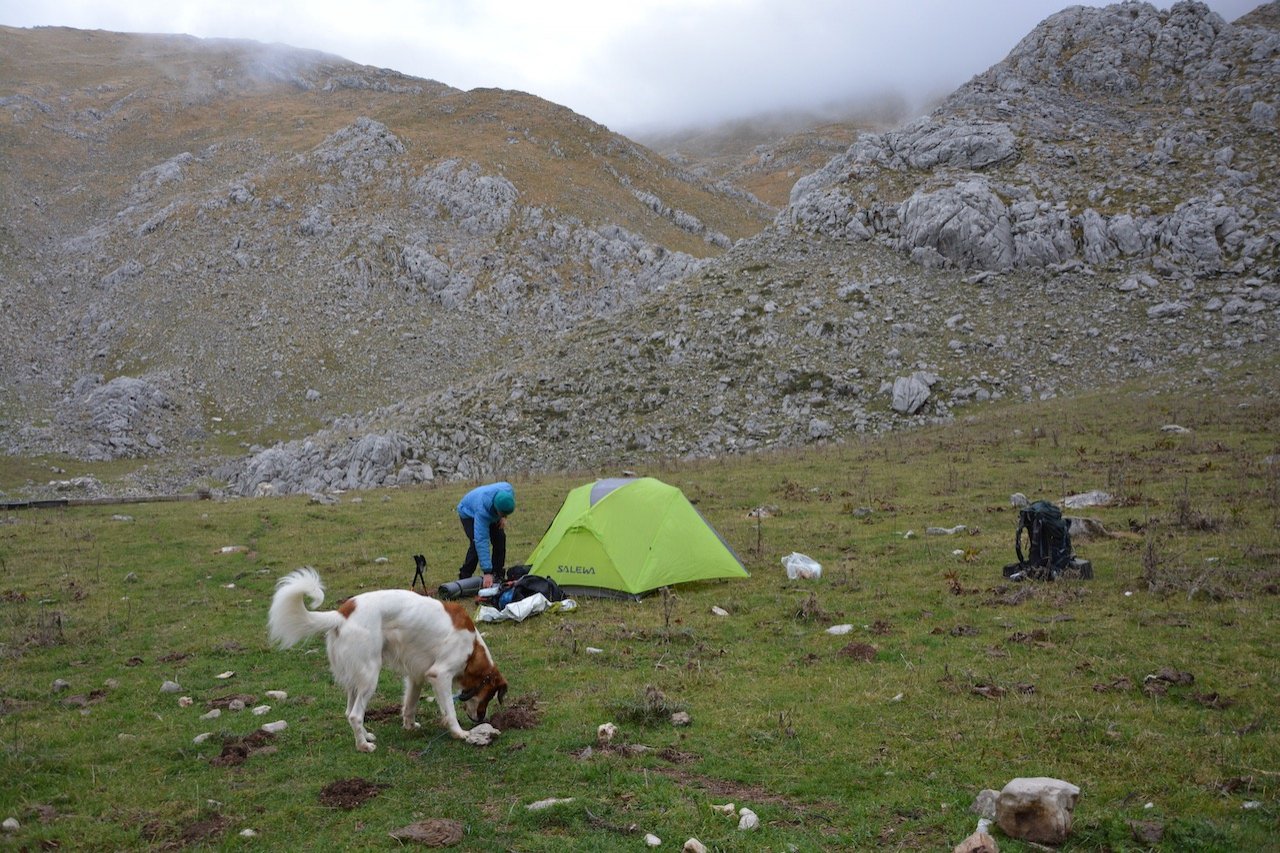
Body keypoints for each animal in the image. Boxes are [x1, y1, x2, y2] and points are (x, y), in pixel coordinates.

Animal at [267, 568, 506, 747]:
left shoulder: (417, 675)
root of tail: (342, 614)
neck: (472, 649)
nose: (482, 719)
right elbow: (450, 710)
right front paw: (460, 733)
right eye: (488, 696)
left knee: (349, 711)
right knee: (355, 715)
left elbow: (410, 705)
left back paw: (366, 736)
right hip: (370, 676)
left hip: (356, 678)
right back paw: (364, 746)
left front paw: (409, 726)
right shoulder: (440, 675)